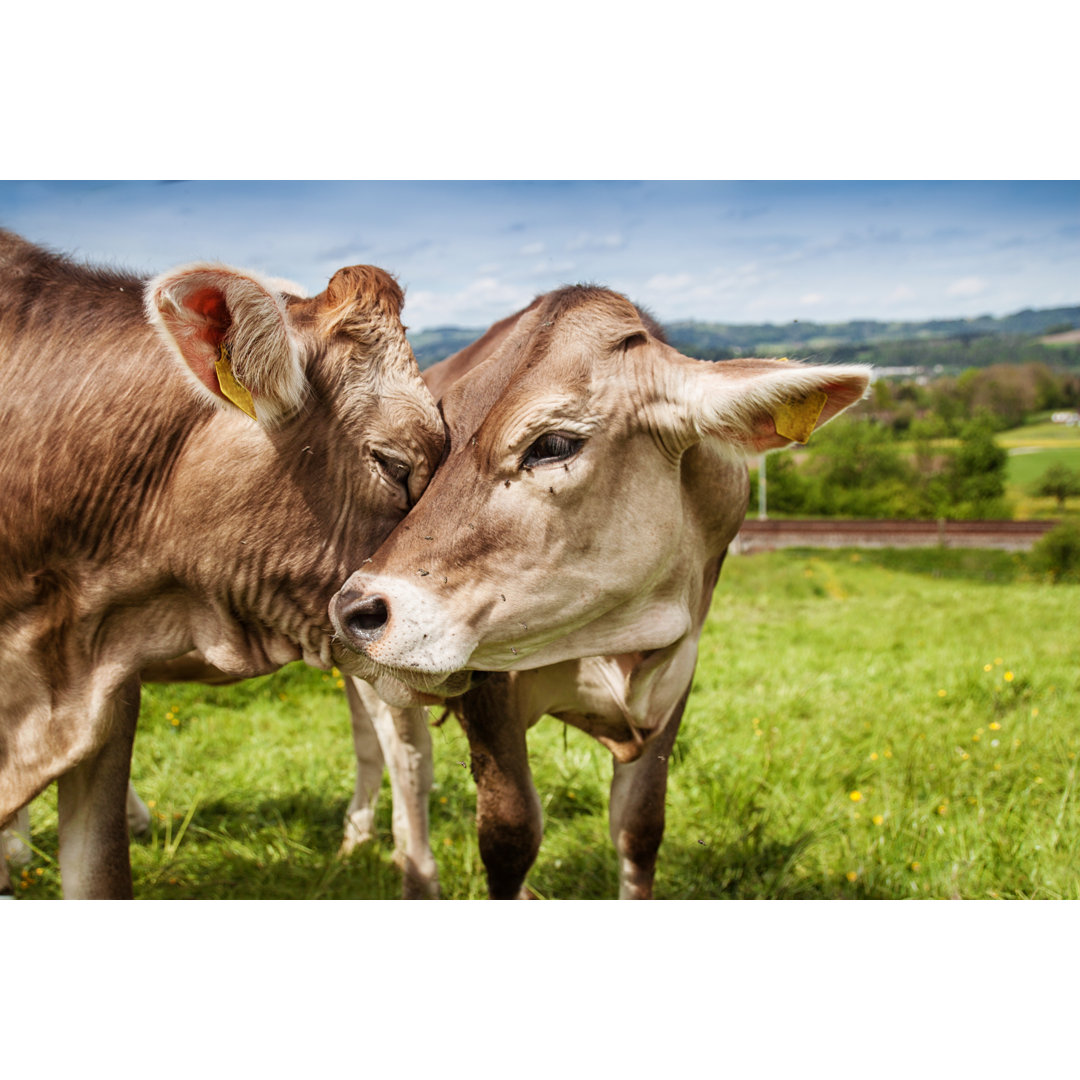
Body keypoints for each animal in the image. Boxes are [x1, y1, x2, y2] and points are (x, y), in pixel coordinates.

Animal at [328, 282, 868, 898]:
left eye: (553, 444)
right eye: (437, 448)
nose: (357, 609)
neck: (616, 633)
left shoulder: (678, 673)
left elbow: (639, 827)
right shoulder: (486, 688)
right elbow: (510, 835)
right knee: (408, 762)